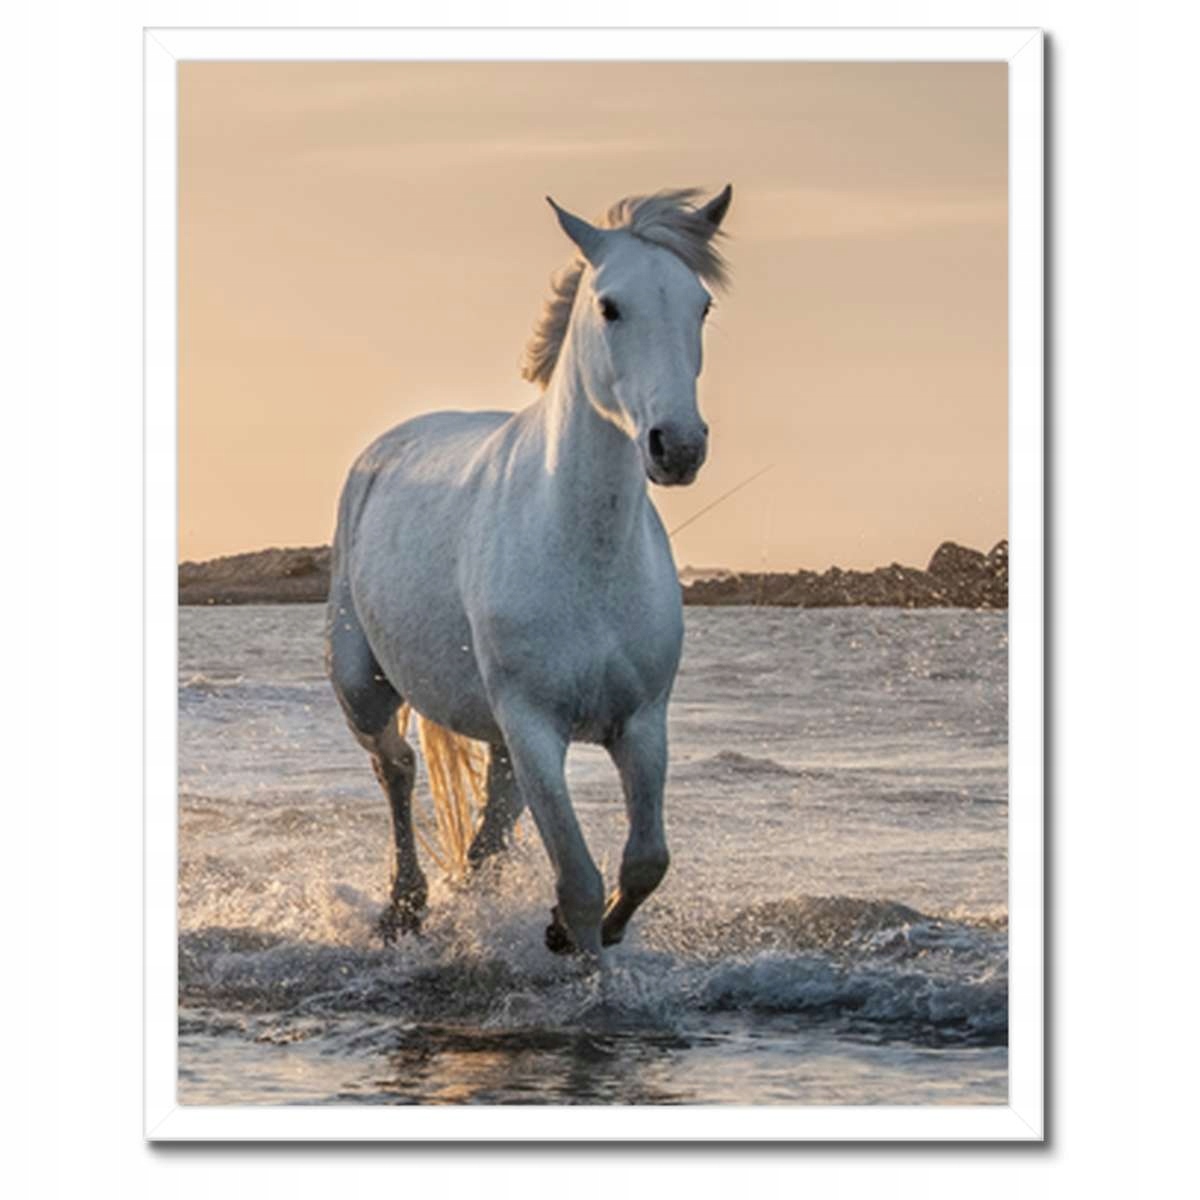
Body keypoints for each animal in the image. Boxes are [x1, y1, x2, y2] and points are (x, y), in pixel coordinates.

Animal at [326, 186, 733, 960]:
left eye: (702, 307)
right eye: (610, 306)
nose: (678, 447)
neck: (583, 552)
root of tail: (385, 449)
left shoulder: (642, 723)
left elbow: (645, 861)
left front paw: (575, 933)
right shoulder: (534, 726)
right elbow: (578, 880)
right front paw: (578, 951)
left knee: (485, 831)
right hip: (364, 688)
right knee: (396, 770)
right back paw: (405, 908)